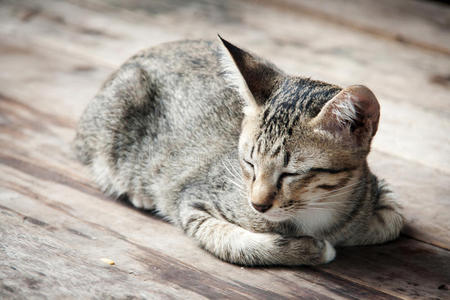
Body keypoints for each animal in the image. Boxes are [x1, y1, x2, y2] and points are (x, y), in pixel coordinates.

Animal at [74, 36, 404, 266]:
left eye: (291, 173)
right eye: (249, 163)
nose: (257, 204)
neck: (318, 210)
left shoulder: (373, 186)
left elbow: (394, 220)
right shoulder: (192, 202)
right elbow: (237, 245)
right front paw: (309, 248)